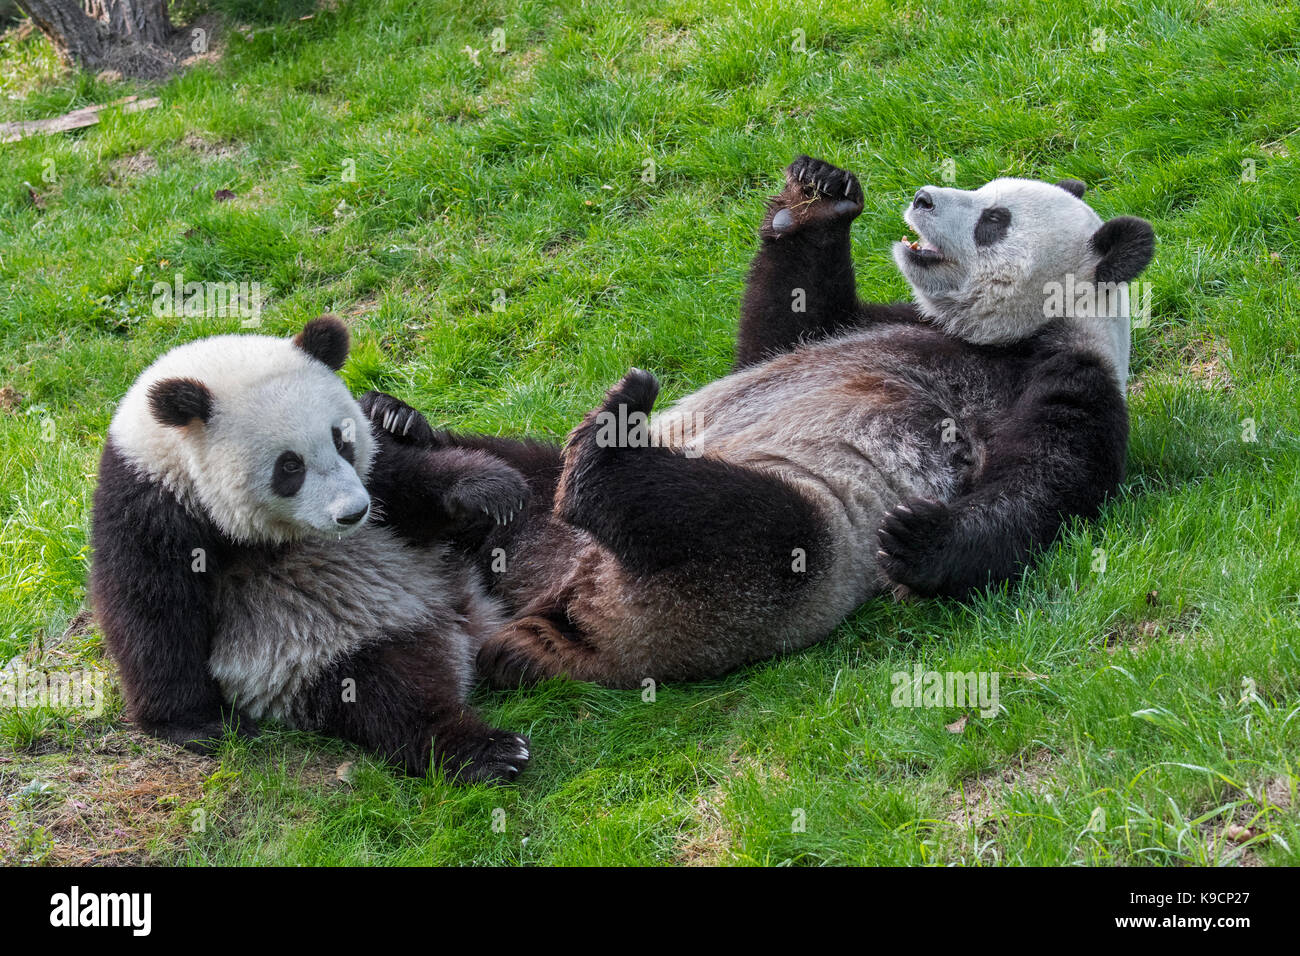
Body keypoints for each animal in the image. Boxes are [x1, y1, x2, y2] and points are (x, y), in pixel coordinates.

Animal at [92, 317, 533, 780]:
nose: (353, 513)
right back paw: (486, 750)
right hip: (323, 651)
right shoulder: (151, 506)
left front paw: (488, 490)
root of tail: (465, 626)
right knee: (389, 697)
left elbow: (408, 488)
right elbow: (154, 612)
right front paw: (198, 724)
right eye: (290, 466)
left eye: (342, 441)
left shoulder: (376, 478)